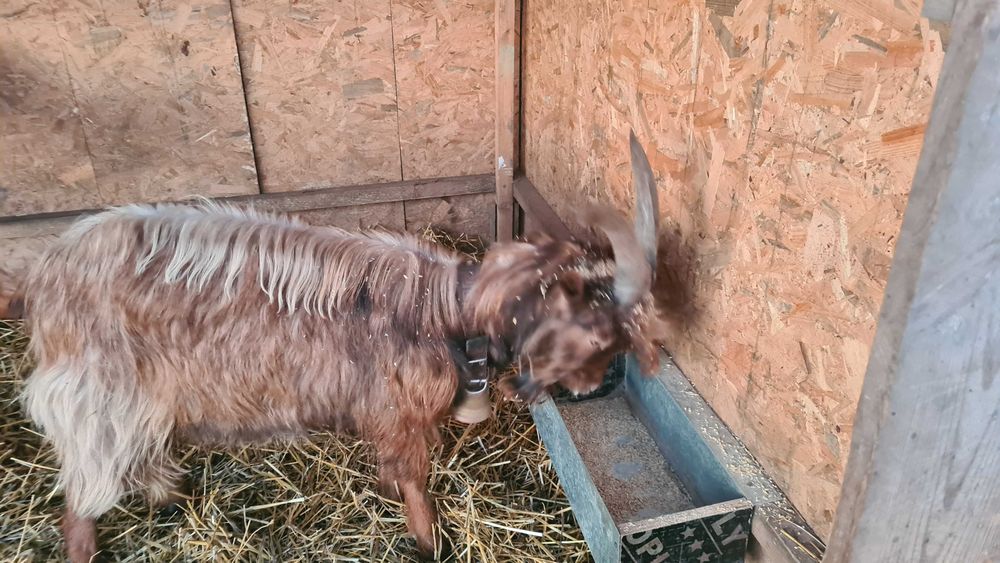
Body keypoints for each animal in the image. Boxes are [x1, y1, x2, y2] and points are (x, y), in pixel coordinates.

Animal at [15, 131, 665, 562]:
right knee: (81, 497)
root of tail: (46, 274)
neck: (447, 315)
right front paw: (428, 542)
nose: (603, 386)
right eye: (596, 333)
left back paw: (170, 497)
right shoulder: (397, 410)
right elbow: (415, 482)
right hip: (96, 398)